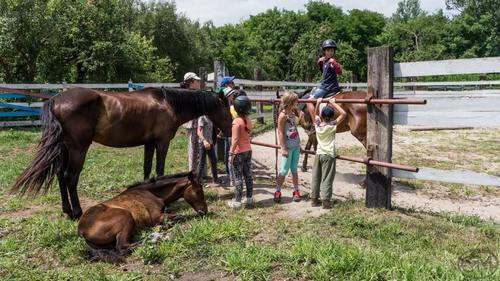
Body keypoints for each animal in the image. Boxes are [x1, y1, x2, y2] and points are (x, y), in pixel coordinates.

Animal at [9, 87, 232, 219]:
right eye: (227, 110)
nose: (228, 132)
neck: (167, 103)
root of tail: (55, 100)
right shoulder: (161, 143)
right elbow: (159, 170)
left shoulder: (149, 143)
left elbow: (147, 169)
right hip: (78, 149)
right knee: (69, 177)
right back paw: (77, 212)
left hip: (65, 149)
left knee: (60, 176)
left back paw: (67, 210)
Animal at [77, 171, 206, 262]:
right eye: (199, 191)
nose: (204, 211)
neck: (150, 192)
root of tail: (81, 230)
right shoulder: (157, 216)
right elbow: (180, 217)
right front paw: (163, 227)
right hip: (125, 216)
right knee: (123, 247)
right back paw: (157, 237)